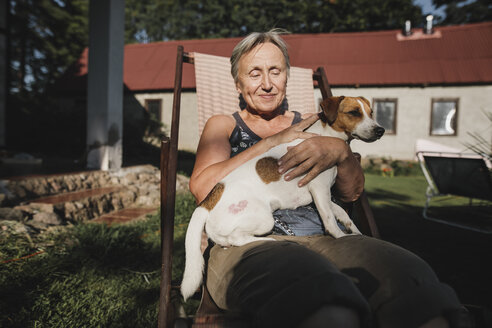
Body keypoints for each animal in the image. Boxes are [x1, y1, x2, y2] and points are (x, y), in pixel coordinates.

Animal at [181, 95, 384, 300]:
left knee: (227, 240)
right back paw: (266, 241)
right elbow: (330, 221)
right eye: (354, 113)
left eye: (371, 112)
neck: (326, 135)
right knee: (236, 238)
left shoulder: (324, 194)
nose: (380, 130)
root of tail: (207, 203)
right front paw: (340, 236)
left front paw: (354, 230)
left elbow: (341, 212)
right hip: (264, 219)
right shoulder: (319, 188)